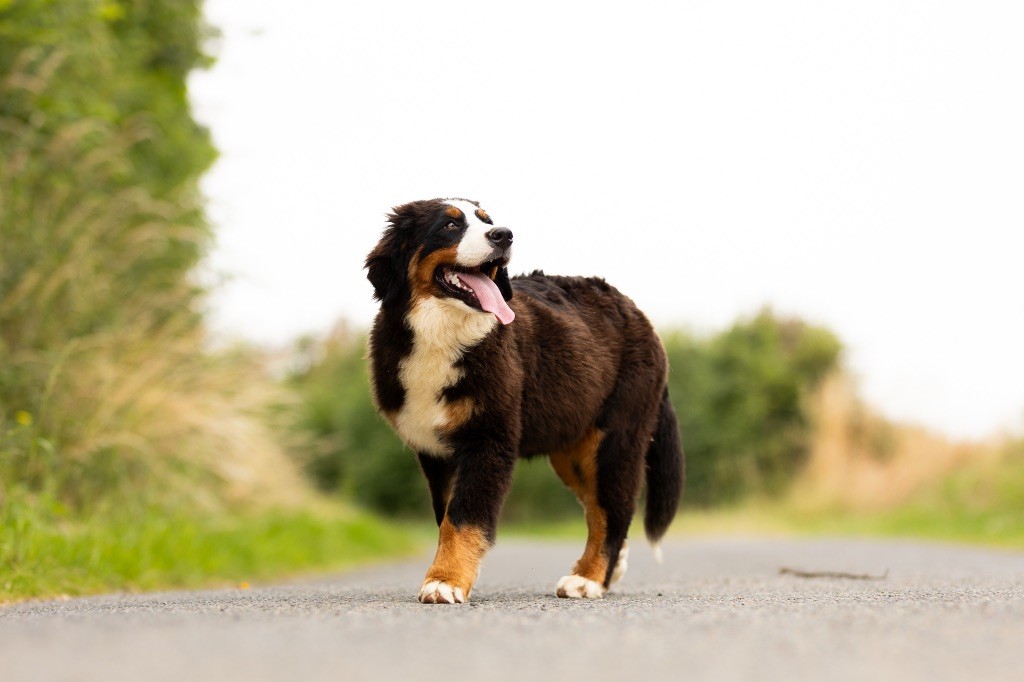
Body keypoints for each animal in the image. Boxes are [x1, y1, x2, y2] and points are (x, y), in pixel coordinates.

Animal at [364, 196, 684, 602]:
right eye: (450, 225)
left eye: (487, 221)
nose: (504, 235)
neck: (440, 335)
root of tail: (642, 318)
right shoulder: (436, 452)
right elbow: (447, 516)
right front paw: (449, 575)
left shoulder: (488, 439)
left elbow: (463, 517)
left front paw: (445, 582)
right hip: (573, 448)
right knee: (600, 508)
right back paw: (606, 571)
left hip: (615, 439)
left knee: (613, 509)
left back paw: (588, 578)